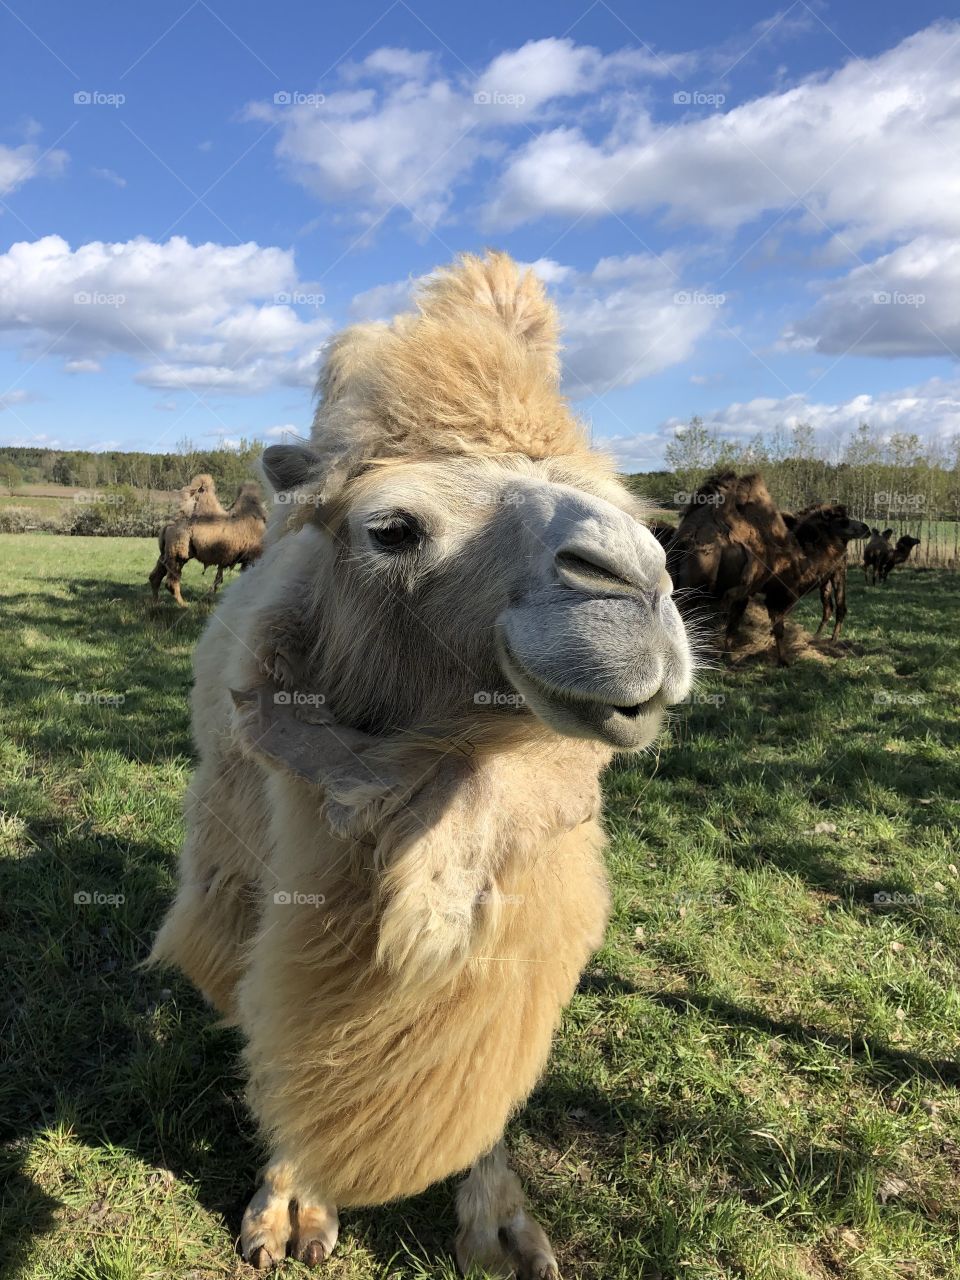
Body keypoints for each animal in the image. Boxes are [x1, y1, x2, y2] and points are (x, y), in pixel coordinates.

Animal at [148, 252, 695, 1276]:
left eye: (635, 513)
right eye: (392, 528)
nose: (637, 587)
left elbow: (478, 1046)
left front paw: (504, 1228)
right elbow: (286, 1024)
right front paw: (287, 1209)